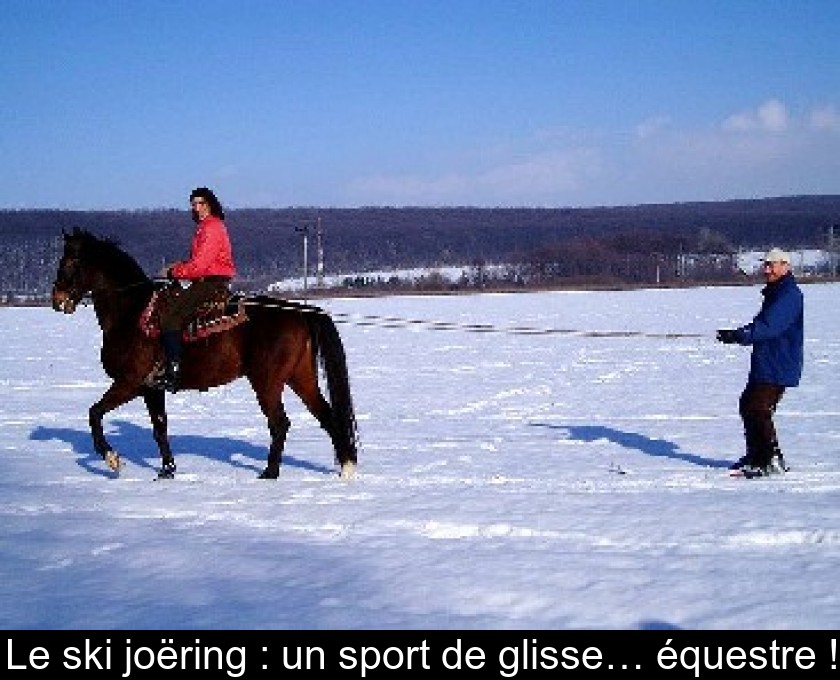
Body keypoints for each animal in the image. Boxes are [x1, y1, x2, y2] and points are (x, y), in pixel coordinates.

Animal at [49, 227, 358, 478]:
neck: (131, 314)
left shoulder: (129, 382)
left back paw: (270, 473)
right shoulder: (151, 389)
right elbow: (159, 427)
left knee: (280, 423)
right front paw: (167, 470)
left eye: (71, 261)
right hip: (300, 378)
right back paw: (345, 469)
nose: (57, 300)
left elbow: (95, 413)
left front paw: (112, 459)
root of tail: (300, 312)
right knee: (326, 417)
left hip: (267, 382)